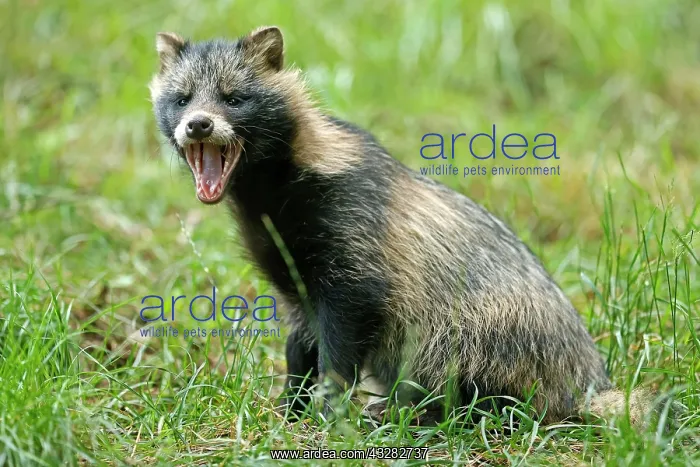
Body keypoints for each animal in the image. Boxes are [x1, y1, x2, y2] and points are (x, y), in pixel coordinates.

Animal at [149, 26, 656, 425]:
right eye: (181, 98)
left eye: (235, 98)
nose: (198, 124)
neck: (271, 191)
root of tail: (585, 385)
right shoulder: (289, 269)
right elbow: (299, 339)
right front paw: (290, 406)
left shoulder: (352, 234)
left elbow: (344, 331)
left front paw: (327, 410)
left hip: (489, 328)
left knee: (466, 379)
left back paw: (414, 411)